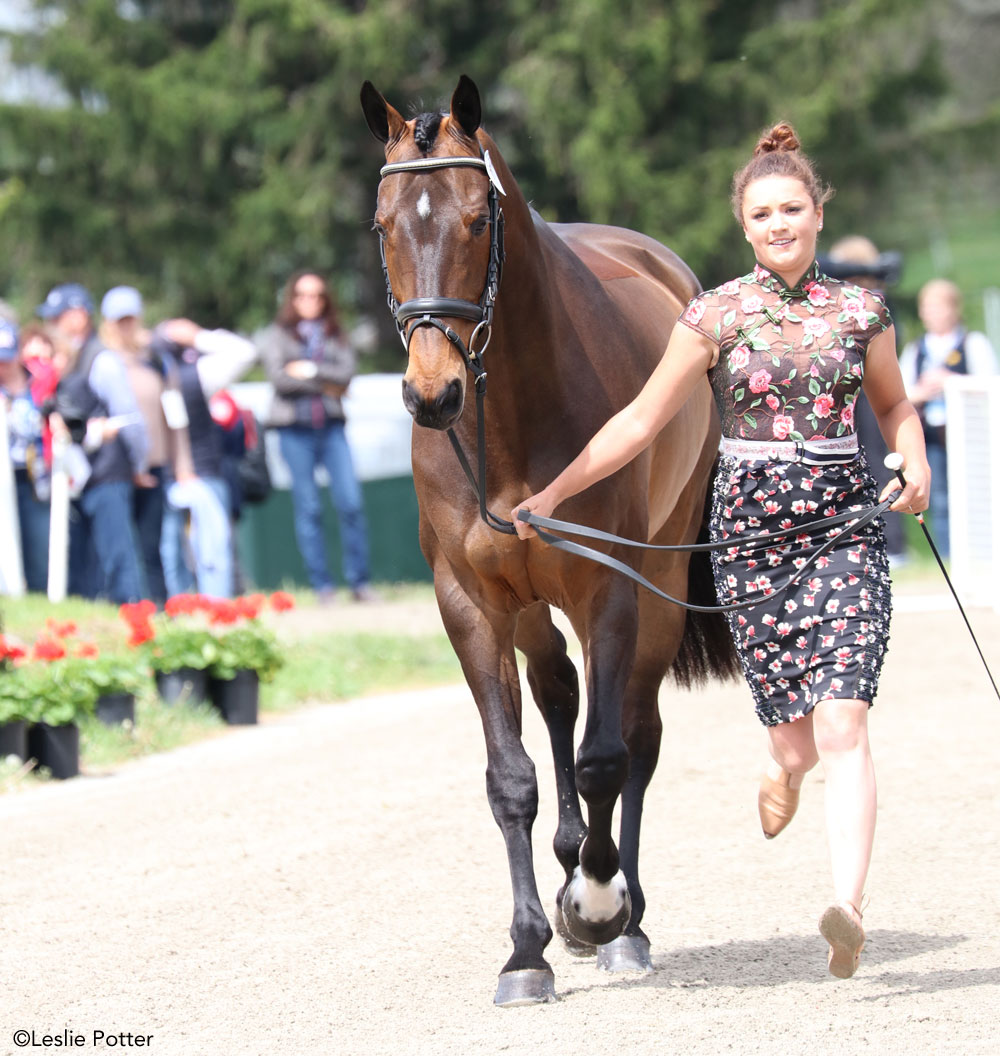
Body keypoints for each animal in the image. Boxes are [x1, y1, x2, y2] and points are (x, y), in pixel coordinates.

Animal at [359, 76, 734, 1005]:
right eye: (383, 225)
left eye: (475, 221)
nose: (432, 394)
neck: (509, 417)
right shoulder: (473, 603)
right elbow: (512, 776)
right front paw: (526, 949)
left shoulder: (608, 588)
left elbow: (605, 757)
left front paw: (599, 904)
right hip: (531, 606)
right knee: (561, 692)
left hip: (654, 593)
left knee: (635, 733)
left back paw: (621, 915)